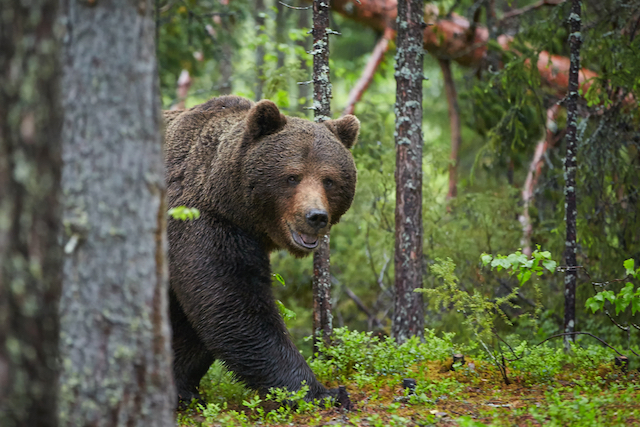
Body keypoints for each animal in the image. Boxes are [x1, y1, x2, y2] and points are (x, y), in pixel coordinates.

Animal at [162, 95, 358, 406]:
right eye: (292, 176)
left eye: (329, 180)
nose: (316, 216)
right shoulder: (200, 223)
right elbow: (234, 306)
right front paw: (319, 391)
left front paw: (181, 386)